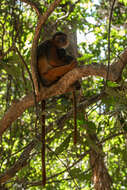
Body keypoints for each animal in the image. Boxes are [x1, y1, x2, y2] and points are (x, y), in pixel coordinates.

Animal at [36, 31, 80, 186]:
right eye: (59, 38)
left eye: (64, 38)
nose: (63, 42)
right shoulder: (50, 46)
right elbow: (54, 61)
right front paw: (70, 59)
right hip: (49, 75)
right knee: (57, 66)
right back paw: (70, 65)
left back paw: (75, 85)